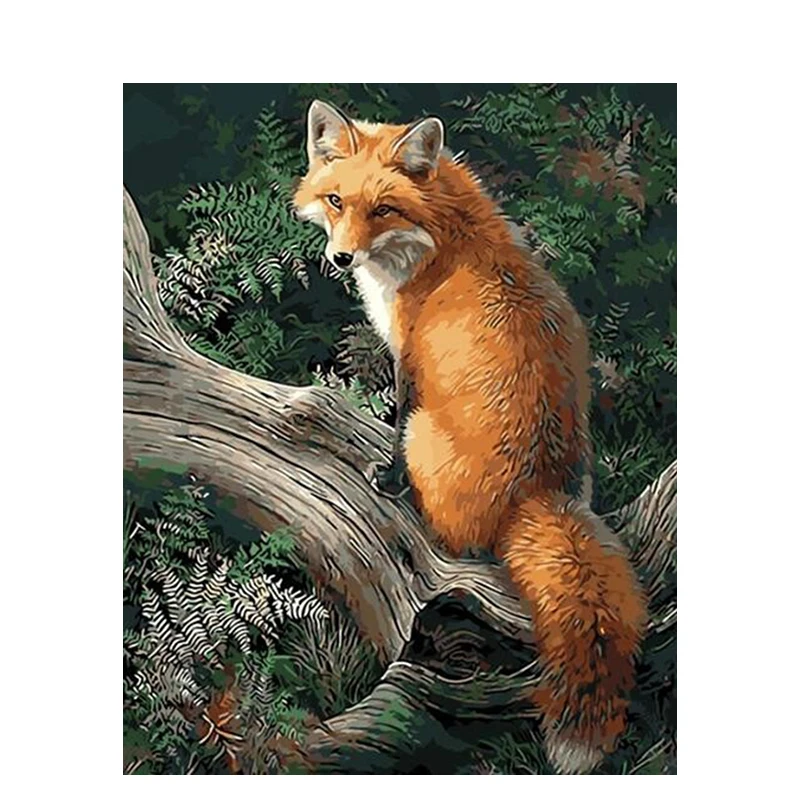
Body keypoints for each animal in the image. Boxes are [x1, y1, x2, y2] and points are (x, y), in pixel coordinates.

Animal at [293, 99, 648, 774]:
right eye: (336, 201)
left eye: (383, 209)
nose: (341, 259)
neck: (443, 236)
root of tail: (537, 494)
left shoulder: (408, 356)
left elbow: (394, 419)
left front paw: (387, 477)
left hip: (427, 436)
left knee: (450, 534)